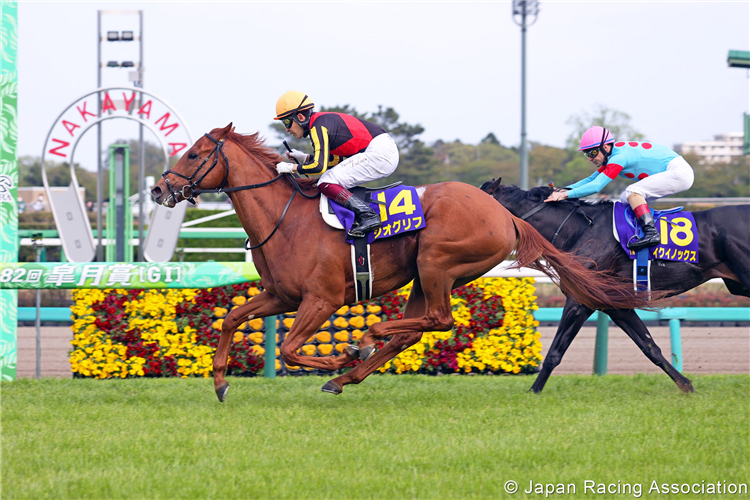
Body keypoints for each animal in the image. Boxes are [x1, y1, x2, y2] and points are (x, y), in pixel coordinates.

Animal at [154, 125, 656, 402]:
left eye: (194, 154)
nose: (160, 190)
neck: (286, 218)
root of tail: (505, 215)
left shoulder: (321, 299)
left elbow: (291, 349)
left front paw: (341, 352)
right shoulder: (281, 295)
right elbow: (232, 319)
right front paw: (220, 383)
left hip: (437, 262)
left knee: (435, 321)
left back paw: (361, 347)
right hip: (426, 274)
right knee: (414, 329)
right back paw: (349, 374)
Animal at [482, 179, 750, 394]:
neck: (578, 231)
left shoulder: (580, 300)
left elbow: (555, 352)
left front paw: (533, 391)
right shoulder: (612, 303)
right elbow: (650, 347)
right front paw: (686, 385)